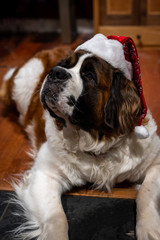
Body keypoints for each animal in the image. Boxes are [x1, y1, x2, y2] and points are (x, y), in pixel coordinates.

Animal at [0, 34, 160, 240]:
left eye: (89, 75)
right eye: (64, 66)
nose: (55, 72)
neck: (96, 141)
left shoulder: (154, 161)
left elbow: (145, 193)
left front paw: (148, 229)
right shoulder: (44, 174)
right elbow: (56, 218)